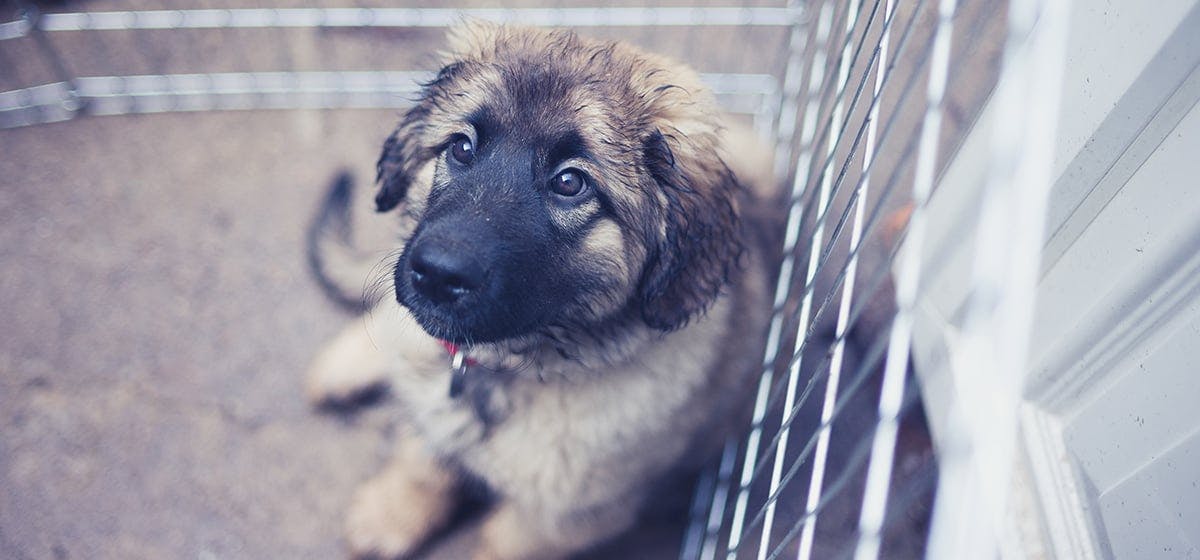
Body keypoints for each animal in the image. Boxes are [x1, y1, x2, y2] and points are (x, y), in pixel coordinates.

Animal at [304, 23, 782, 560]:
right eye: (462, 148)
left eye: (570, 182)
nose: (437, 273)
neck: (503, 366)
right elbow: (422, 461)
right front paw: (392, 513)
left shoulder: (566, 517)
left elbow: (499, 542)